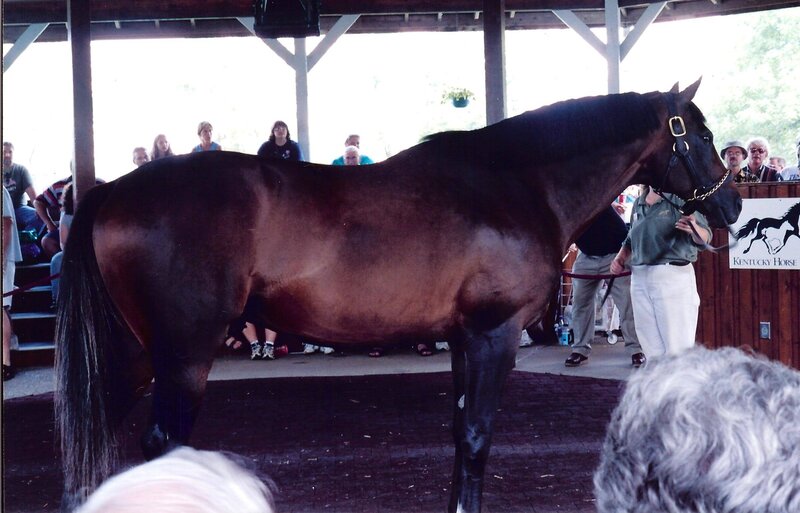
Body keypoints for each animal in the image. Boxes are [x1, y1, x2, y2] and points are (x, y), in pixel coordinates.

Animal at [55, 79, 741, 513]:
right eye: (701, 136)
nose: (732, 204)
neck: (517, 183)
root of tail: (113, 191)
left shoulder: (464, 340)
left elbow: (461, 433)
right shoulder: (494, 335)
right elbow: (477, 437)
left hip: (136, 354)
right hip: (183, 354)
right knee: (160, 446)